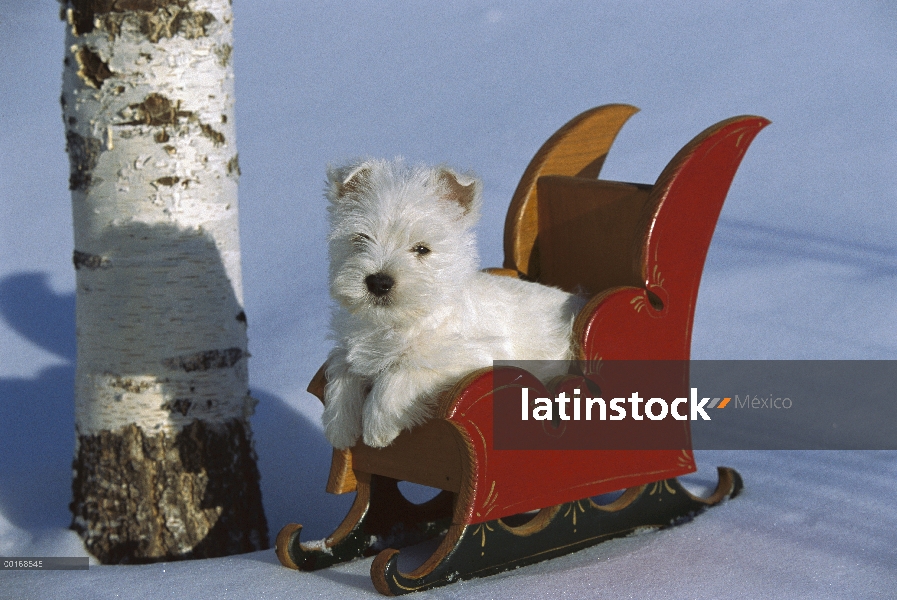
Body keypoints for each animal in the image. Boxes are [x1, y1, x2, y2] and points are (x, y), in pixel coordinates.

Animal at [318, 159, 584, 450]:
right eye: (361, 238)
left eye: (422, 249)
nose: (379, 282)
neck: (397, 323)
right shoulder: (351, 347)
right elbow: (343, 367)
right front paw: (339, 424)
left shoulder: (469, 358)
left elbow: (404, 371)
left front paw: (378, 427)